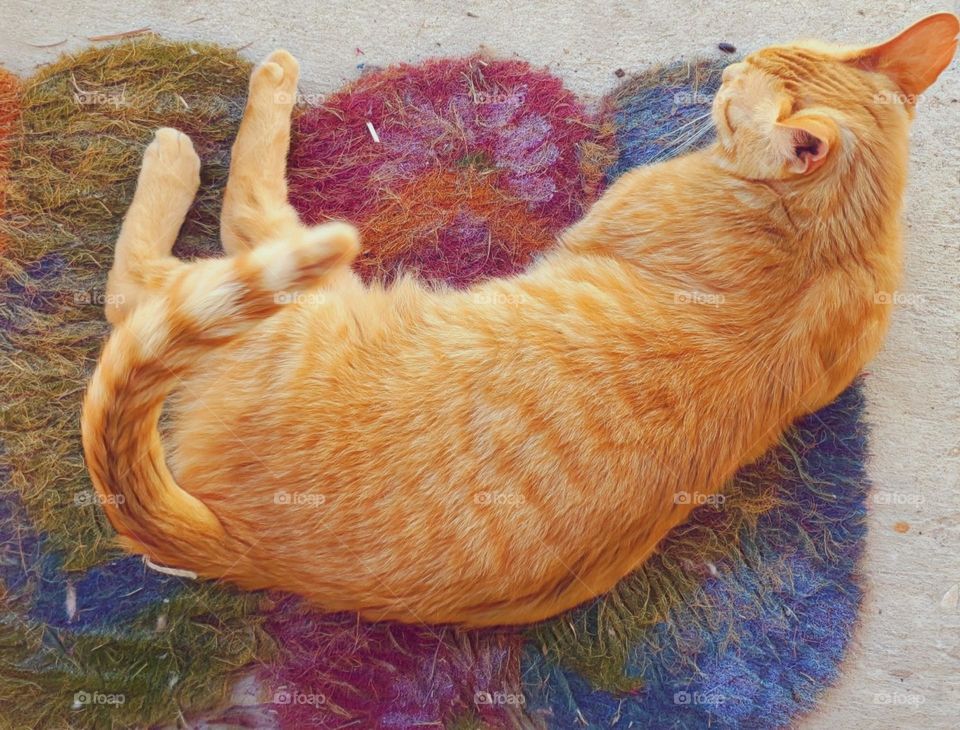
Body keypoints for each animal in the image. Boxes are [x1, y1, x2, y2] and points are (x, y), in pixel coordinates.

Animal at [84, 14, 960, 624]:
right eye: (771, 53)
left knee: (149, 279)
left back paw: (188, 143)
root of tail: (247, 552)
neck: (833, 235)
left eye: (744, 98)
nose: (732, 62)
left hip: (287, 284)